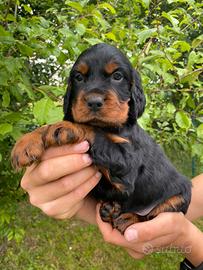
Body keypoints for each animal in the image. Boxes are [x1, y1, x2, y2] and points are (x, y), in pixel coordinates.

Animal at [11, 43, 192, 233]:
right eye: (78, 77)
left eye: (117, 76)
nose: (94, 101)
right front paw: (25, 144)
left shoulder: (127, 164)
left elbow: (92, 129)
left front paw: (68, 127)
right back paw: (111, 208)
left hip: (180, 195)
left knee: (151, 215)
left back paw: (128, 217)